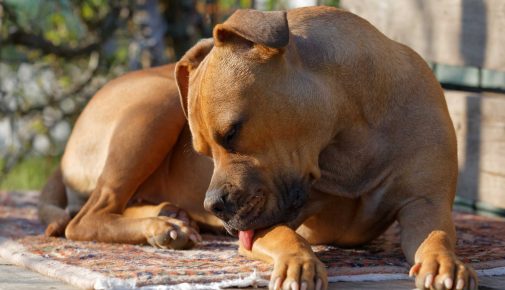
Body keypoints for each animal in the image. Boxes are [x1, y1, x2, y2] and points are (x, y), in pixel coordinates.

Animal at [39, 6, 476, 290]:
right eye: (201, 152)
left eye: (232, 133)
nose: (214, 205)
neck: (347, 135)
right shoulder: (263, 220)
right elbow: (284, 235)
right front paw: (300, 261)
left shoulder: (426, 205)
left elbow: (436, 235)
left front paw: (446, 263)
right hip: (155, 106)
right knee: (87, 217)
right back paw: (161, 226)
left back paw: (169, 218)